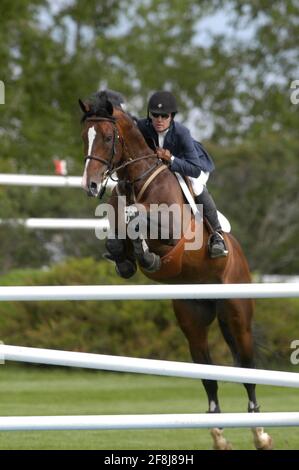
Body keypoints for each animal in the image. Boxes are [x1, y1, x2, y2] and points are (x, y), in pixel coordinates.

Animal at [79, 90, 274, 450]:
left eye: (109, 138)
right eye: (84, 136)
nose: (92, 185)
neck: (136, 178)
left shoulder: (170, 231)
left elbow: (137, 218)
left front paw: (145, 254)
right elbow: (118, 230)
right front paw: (126, 258)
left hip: (237, 314)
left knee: (247, 368)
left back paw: (260, 432)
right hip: (192, 318)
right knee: (209, 374)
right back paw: (218, 434)